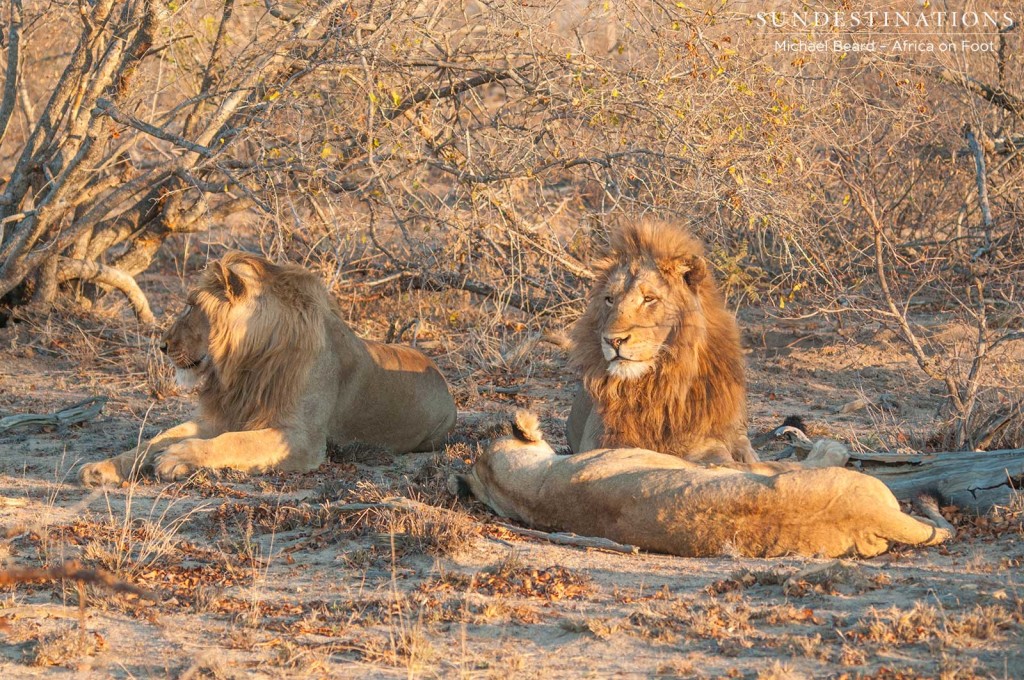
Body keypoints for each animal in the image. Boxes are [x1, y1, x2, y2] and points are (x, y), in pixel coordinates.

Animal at [81, 251, 458, 485]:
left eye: (190, 306)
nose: (162, 345)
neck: (244, 366)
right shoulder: (220, 416)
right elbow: (153, 439)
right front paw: (102, 468)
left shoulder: (301, 438)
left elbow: (233, 442)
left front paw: (177, 457)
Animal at [454, 411, 950, 561]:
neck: (534, 489)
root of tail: (873, 514)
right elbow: (756, 462)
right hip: (838, 481)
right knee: (813, 459)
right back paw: (821, 442)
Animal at [569, 218, 761, 462]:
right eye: (610, 299)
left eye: (649, 298)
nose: (613, 341)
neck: (655, 383)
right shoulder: (599, 437)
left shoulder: (707, 441)